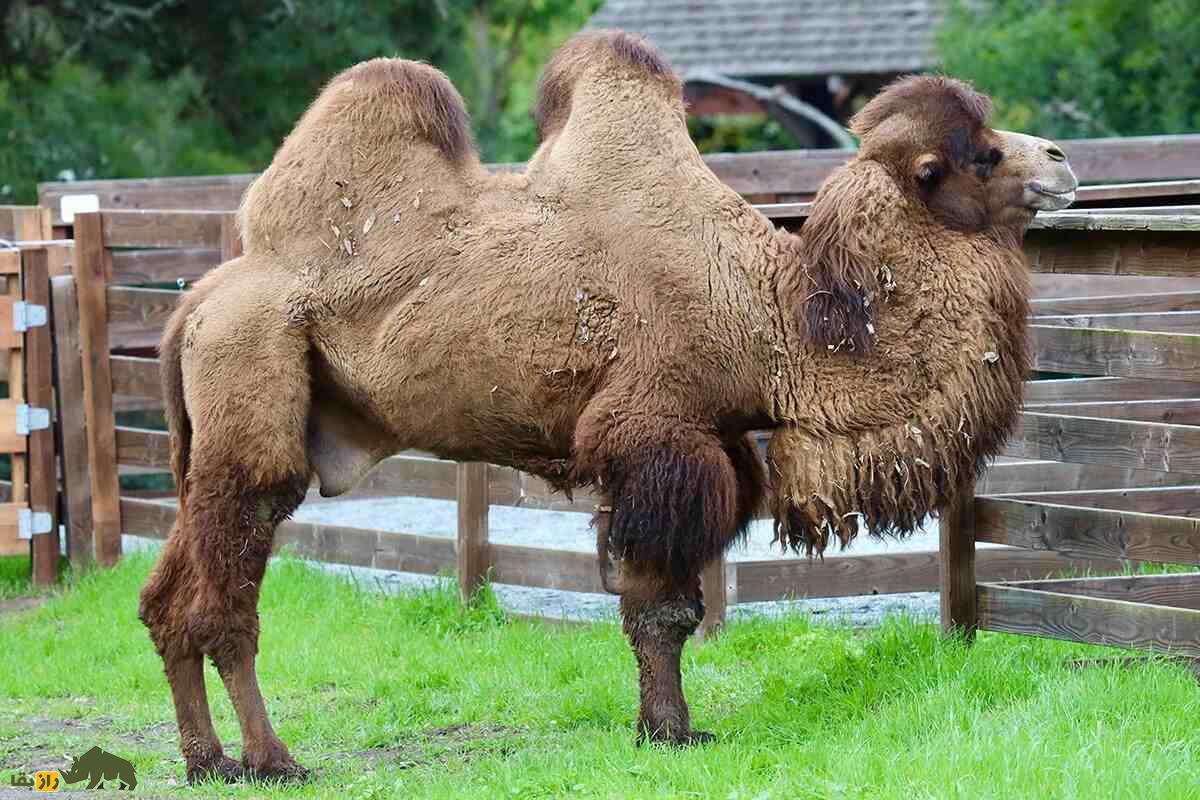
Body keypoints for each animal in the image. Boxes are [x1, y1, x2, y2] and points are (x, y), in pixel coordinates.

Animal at [138, 31, 1080, 782]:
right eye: (978, 155)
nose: (1063, 160)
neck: (770, 315)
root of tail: (201, 301)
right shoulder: (655, 438)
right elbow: (660, 610)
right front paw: (668, 732)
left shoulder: (716, 443)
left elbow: (675, 606)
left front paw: (673, 728)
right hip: (250, 383)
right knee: (224, 602)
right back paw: (273, 761)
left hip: (216, 438)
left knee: (164, 598)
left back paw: (206, 760)